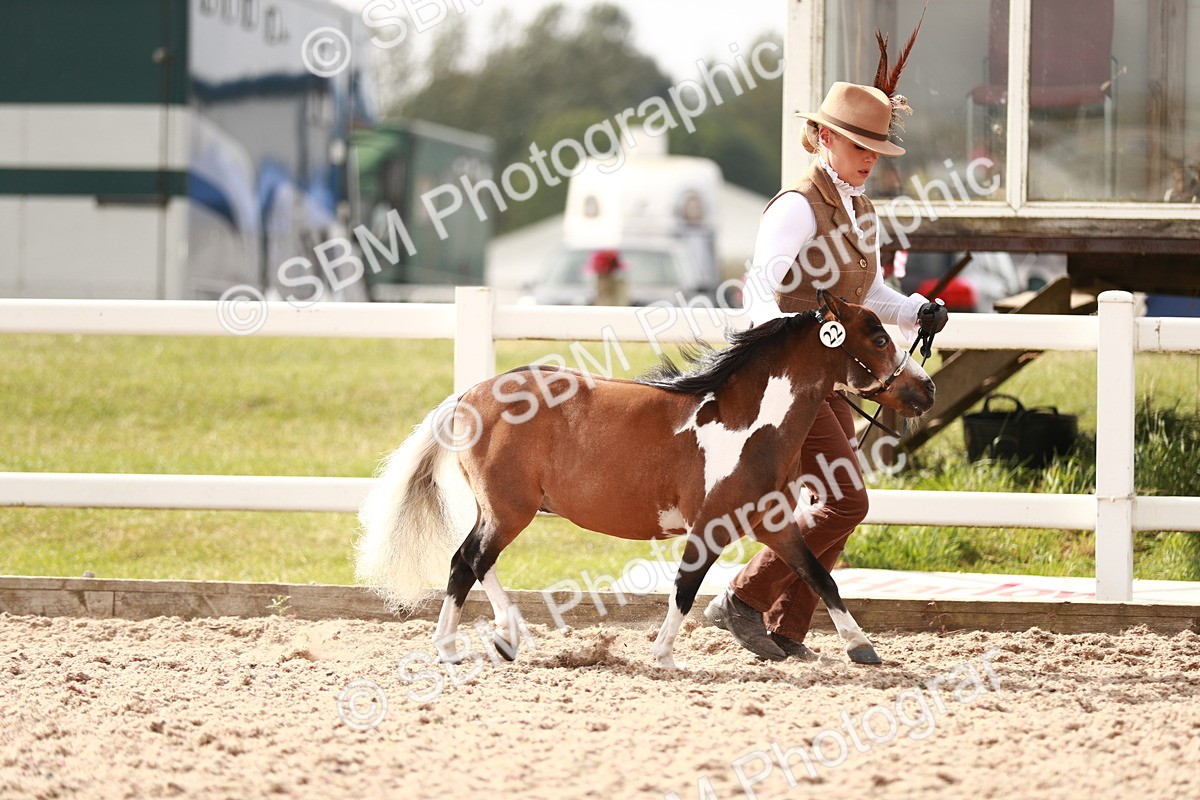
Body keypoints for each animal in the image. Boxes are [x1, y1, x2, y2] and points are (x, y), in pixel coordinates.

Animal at [356, 290, 935, 669]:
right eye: (877, 337)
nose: (924, 390)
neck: (749, 425)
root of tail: (468, 397)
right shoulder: (710, 526)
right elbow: (685, 588)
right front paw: (662, 656)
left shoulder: (772, 522)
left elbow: (820, 576)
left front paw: (862, 649)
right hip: (509, 510)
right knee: (471, 561)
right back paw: (479, 643)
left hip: (498, 511)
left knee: (470, 562)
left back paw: (479, 643)